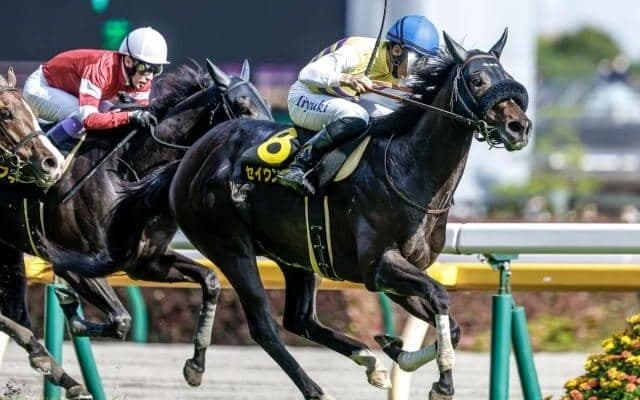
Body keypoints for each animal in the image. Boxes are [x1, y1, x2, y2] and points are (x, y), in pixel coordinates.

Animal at [0, 60, 272, 399]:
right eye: (243, 107)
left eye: (266, 104)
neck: (128, 175)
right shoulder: (73, 263)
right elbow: (120, 320)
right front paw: (71, 312)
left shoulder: (146, 262)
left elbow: (210, 280)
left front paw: (195, 367)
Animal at [55, 30, 531, 399]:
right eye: (476, 78)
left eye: (508, 78)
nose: (519, 127)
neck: (408, 167)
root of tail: (191, 157)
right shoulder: (380, 266)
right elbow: (441, 299)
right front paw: (441, 382)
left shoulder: (396, 272)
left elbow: (448, 320)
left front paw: (396, 350)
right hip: (230, 247)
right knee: (265, 326)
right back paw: (315, 389)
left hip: (298, 254)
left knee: (299, 319)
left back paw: (365, 358)